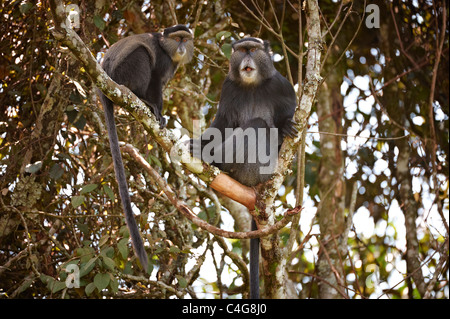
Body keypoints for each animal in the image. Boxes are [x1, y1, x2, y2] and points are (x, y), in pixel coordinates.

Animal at [98, 24, 193, 272]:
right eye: (177, 39)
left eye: (185, 39)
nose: (181, 47)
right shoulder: (162, 61)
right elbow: (156, 80)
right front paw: (156, 109)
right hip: (123, 73)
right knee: (141, 55)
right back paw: (142, 100)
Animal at [189, 38, 296, 300]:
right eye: (241, 50)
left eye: (253, 50)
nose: (247, 57)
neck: (252, 85)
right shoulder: (228, 88)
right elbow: (222, 124)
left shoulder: (283, 87)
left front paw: (285, 126)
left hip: (258, 169)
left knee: (257, 126)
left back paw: (214, 159)